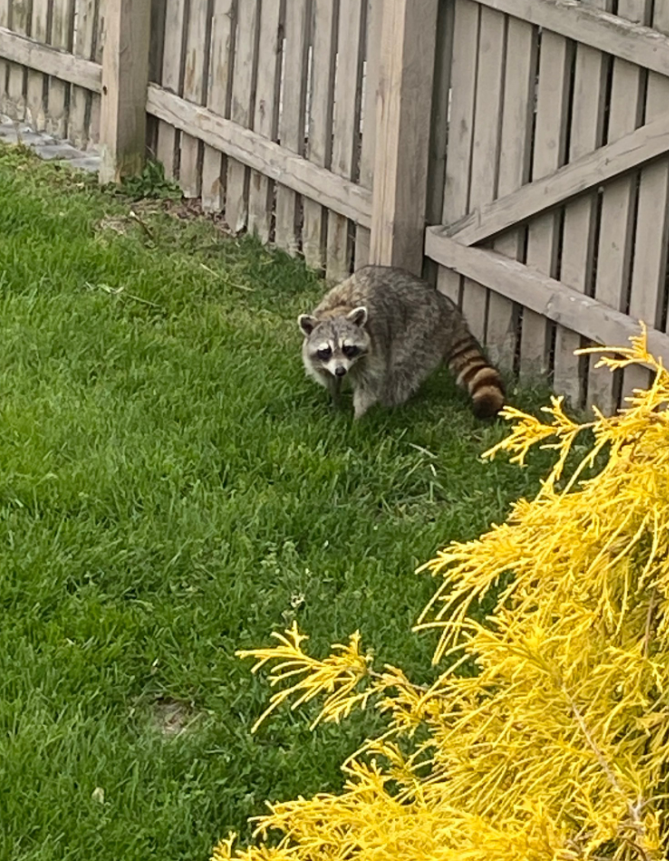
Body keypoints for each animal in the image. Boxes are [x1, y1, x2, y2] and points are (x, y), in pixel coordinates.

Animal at [294, 266, 504, 420]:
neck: (338, 309)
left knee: (400, 371)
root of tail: (449, 309)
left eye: (348, 348)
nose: (340, 371)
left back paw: (388, 406)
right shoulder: (319, 360)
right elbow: (328, 378)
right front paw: (336, 404)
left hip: (422, 331)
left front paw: (358, 418)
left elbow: (369, 385)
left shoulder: (374, 351)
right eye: (326, 350)